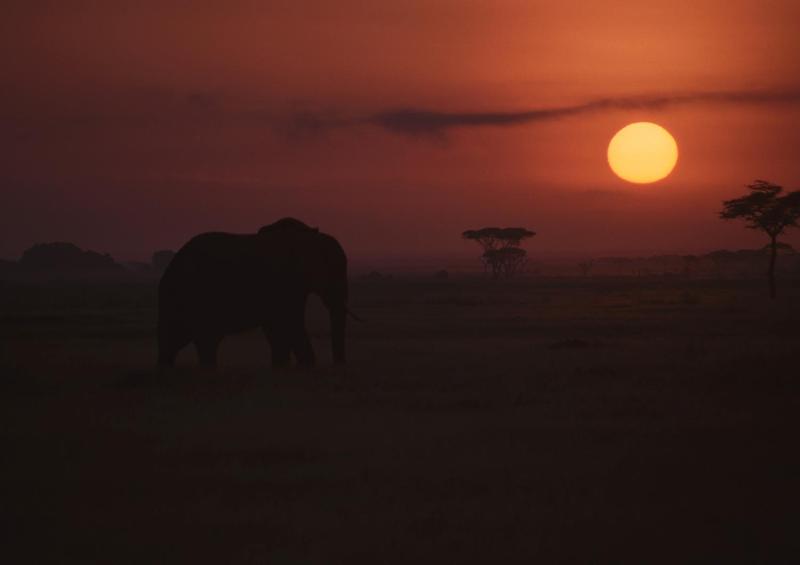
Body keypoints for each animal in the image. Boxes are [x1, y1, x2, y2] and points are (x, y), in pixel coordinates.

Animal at [158, 218, 348, 368]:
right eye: (333, 271)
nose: (337, 365)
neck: (310, 237)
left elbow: (278, 327)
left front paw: (282, 366)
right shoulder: (286, 281)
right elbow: (291, 322)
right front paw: (305, 365)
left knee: (182, 342)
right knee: (201, 341)